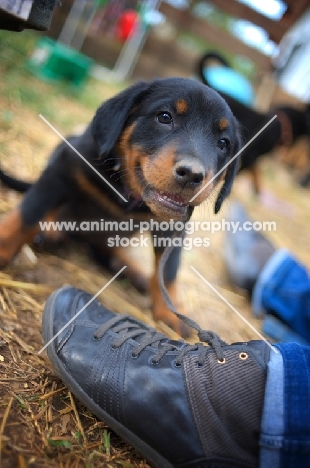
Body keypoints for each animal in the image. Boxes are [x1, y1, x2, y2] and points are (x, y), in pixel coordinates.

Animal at [0, 77, 241, 334]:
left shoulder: (174, 225)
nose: (192, 174)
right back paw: (52, 230)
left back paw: (135, 273)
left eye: (223, 143)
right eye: (165, 117)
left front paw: (171, 309)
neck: (130, 192)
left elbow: (168, 269)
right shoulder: (63, 168)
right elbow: (27, 214)